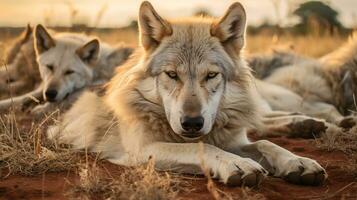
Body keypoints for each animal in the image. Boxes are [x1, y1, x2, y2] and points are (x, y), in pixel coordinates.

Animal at [48, 1, 326, 188]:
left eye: (211, 75)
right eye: (172, 75)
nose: (192, 123)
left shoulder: (234, 140)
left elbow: (266, 143)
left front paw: (298, 162)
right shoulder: (143, 150)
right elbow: (201, 147)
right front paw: (238, 164)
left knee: (263, 122)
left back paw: (306, 123)